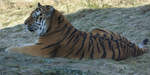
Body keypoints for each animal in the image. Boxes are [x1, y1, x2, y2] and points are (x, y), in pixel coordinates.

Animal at [5, 2, 149, 60]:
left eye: (34, 16)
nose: (24, 23)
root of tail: (135, 48)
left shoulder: (40, 49)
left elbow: (21, 48)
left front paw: (8, 49)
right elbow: (21, 45)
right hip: (96, 28)